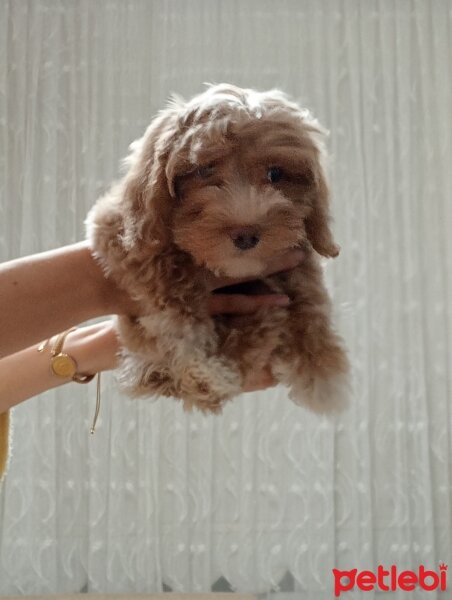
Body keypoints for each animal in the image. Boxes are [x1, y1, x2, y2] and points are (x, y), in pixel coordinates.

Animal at [87, 83, 350, 412]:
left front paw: (319, 362)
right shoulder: (118, 232)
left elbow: (309, 292)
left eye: (276, 174)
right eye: (204, 170)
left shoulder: (296, 256)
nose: (246, 234)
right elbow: (172, 291)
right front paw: (198, 361)